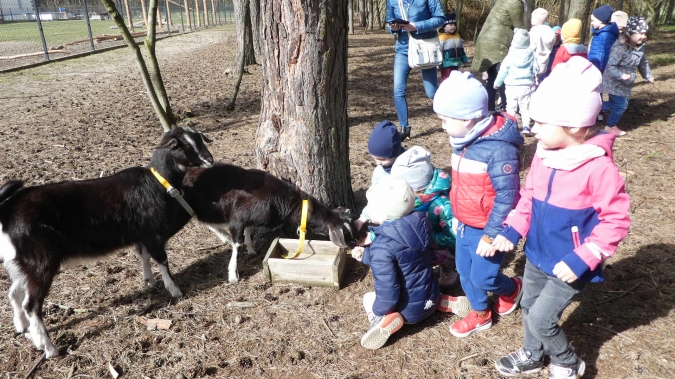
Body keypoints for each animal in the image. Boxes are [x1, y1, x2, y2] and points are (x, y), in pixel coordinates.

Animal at [180, 164, 360, 284]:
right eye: (345, 232)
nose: (356, 242)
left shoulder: (251, 218)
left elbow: (249, 230)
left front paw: (251, 250)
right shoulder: (238, 218)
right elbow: (237, 243)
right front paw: (232, 275)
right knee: (202, 219)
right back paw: (225, 236)